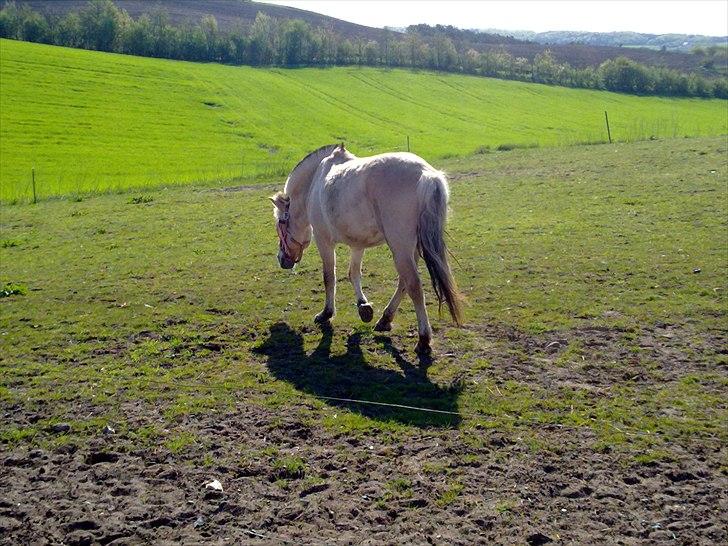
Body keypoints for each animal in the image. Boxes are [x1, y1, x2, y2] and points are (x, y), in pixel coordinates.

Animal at [270, 142, 464, 352]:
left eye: (280, 222)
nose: (281, 259)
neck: (315, 180)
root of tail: (427, 174)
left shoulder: (323, 240)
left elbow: (329, 277)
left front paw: (326, 313)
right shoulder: (357, 244)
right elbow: (353, 273)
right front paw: (363, 306)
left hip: (400, 248)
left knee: (413, 285)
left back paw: (423, 339)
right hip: (412, 249)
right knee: (403, 282)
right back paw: (385, 319)